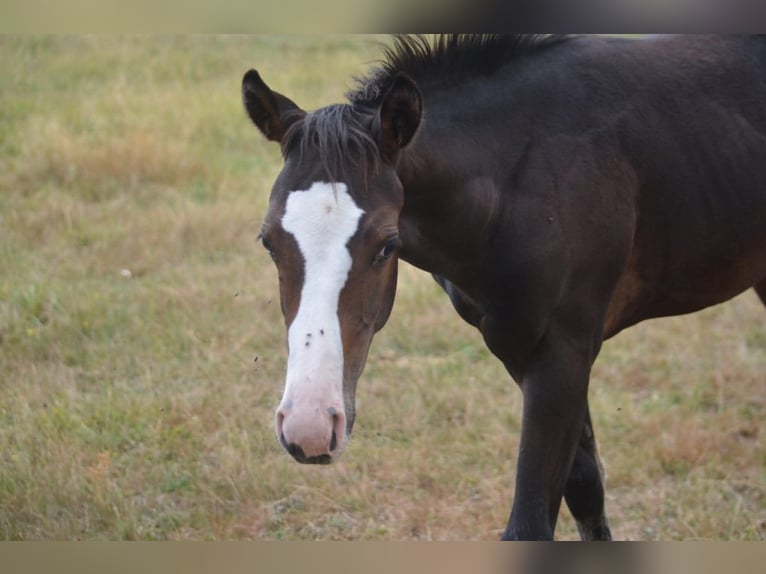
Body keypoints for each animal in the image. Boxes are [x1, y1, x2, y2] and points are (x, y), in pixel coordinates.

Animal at [241, 34, 766, 540]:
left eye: (387, 244)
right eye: (267, 242)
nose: (309, 426)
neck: (520, 179)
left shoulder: (564, 352)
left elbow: (530, 523)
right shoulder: (518, 348)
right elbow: (586, 489)